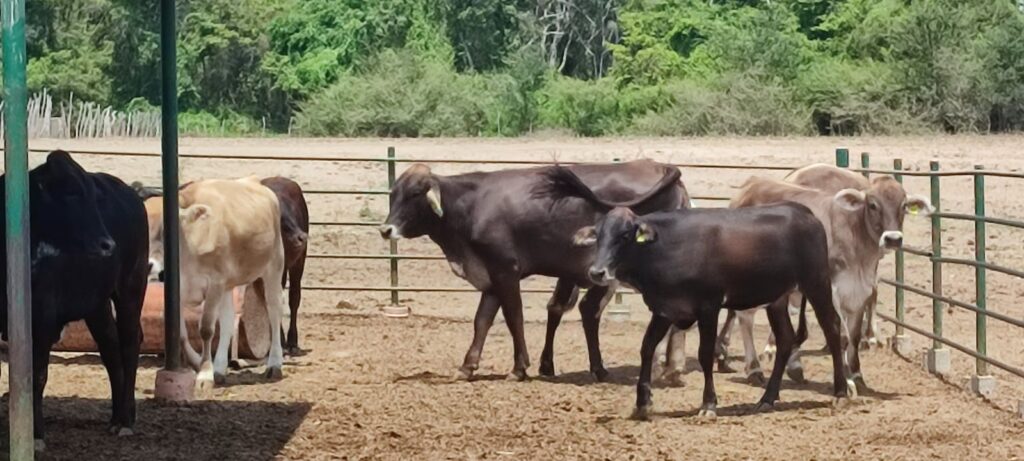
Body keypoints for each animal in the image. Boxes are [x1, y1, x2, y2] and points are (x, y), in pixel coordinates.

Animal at [1, 151, 149, 450]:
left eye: (93, 194)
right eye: (71, 192)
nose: (107, 244)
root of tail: (131, 194)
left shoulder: (42, 317)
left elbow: (36, 375)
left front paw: (35, 436)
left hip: (131, 287)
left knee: (129, 343)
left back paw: (126, 421)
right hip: (97, 304)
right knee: (110, 348)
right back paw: (117, 417)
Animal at [379, 160, 689, 382]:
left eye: (415, 194)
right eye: (393, 194)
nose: (385, 230)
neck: (472, 204)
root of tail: (660, 166)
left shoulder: (506, 271)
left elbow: (514, 317)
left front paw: (519, 368)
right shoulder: (491, 276)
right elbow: (482, 321)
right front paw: (467, 366)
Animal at [537, 166, 848, 419]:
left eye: (625, 235)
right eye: (599, 235)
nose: (597, 272)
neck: (667, 247)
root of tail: (804, 212)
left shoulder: (708, 307)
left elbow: (704, 353)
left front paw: (708, 405)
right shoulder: (665, 309)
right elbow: (647, 347)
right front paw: (643, 403)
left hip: (816, 284)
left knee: (832, 328)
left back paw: (841, 393)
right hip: (777, 298)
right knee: (785, 339)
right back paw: (767, 399)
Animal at [719, 168, 932, 394]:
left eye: (903, 206)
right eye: (873, 204)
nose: (892, 239)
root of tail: (750, 185)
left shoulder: (860, 291)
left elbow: (853, 336)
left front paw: (856, 375)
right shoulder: (832, 288)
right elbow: (841, 335)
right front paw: (846, 381)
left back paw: (791, 366)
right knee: (745, 317)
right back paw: (753, 369)